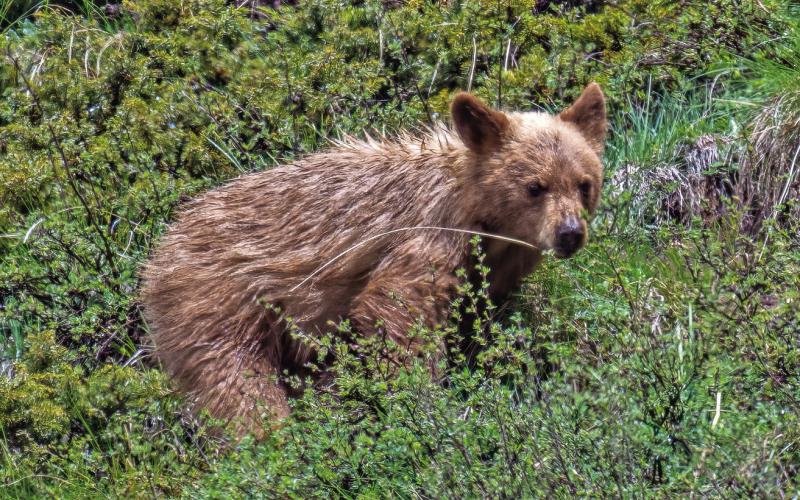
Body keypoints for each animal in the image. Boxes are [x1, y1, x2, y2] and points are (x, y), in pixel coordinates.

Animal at [140, 83, 607, 435]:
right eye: (535, 186)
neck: (481, 213)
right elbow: (397, 311)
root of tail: (161, 250)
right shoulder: (430, 231)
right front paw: (421, 402)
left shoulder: (501, 263)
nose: (569, 233)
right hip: (214, 302)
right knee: (236, 385)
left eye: (584, 183)